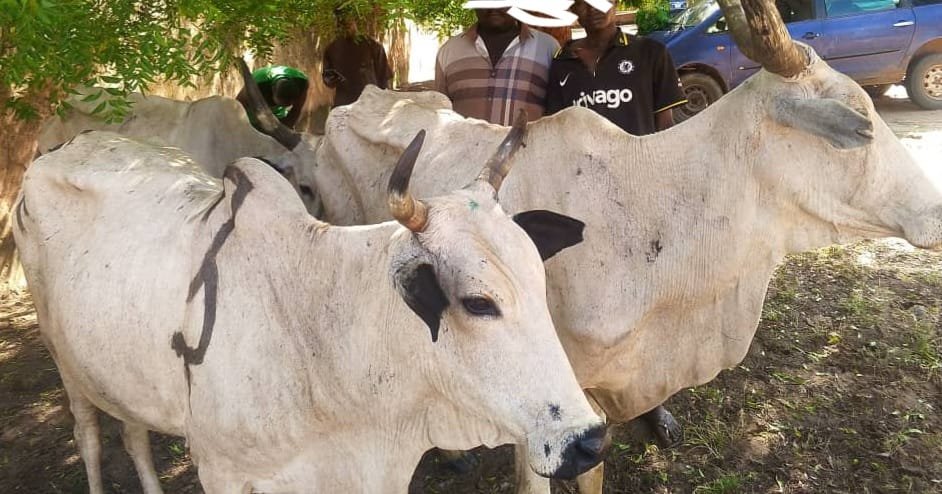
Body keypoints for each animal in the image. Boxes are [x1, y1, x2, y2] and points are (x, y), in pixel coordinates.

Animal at [13, 120, 610, 493]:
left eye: (539, 279)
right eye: (478, 302)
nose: (588, 441)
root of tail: (59, 151)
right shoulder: (221, 473)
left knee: (133, 434)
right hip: (67, 365)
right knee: (89, 438)